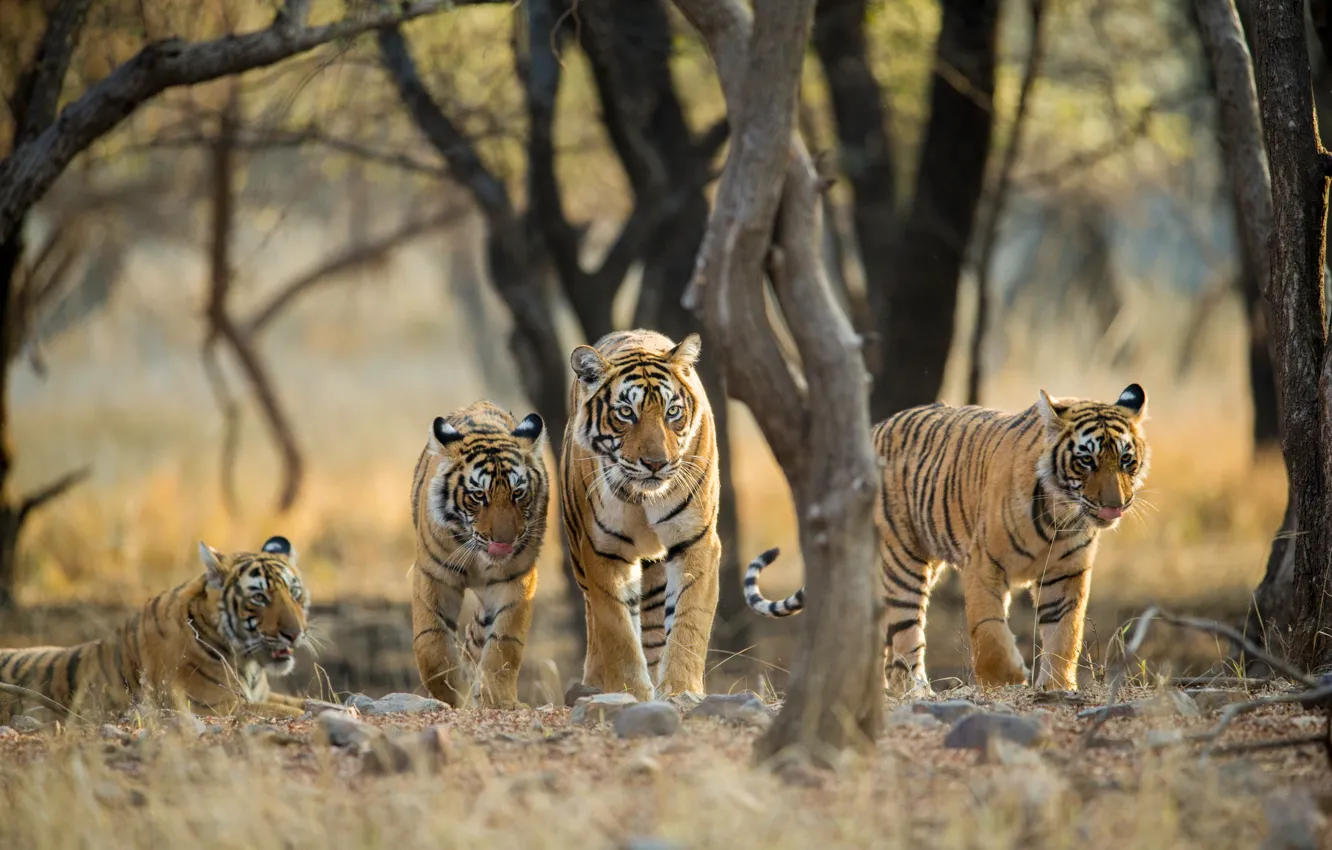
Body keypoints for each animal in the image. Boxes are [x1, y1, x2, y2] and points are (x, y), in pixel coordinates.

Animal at [0, 536, 311, 723]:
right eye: (259, 598)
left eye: (294, 593)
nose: (295, 634)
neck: (249, 664)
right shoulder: (216, 705)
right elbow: (290, 710)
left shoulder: (260, 695)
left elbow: (307, 701)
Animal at [409, 400, 549, 709]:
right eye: (478, 495)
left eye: (518, 493)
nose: (504, 542)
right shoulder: (433, 575)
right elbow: (431, 643)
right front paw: (449, 695)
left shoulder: (515, 578)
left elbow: (504, 644)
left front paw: (497, 701)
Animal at [561, 329, 723, 700]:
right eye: (626, 413)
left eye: (672, 411)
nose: (656, 463)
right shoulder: (603, 550)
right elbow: (617, 630)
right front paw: (631, 692)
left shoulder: (696, 540)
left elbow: (689, 621)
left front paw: (681, 690)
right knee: (595, 619)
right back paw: (593, 683)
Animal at [744, 384, 1151, 694]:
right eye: (1086, 461)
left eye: (1126, 460)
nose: (1115, 505)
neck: (1060, 515)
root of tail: (874, 429)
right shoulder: (983, 564)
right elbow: (988, 630)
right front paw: (1007, 679)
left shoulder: (1066, 574)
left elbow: (1066, 633)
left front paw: (1057, 687)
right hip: (902, 561)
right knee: (906, 636)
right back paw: (916, 692)